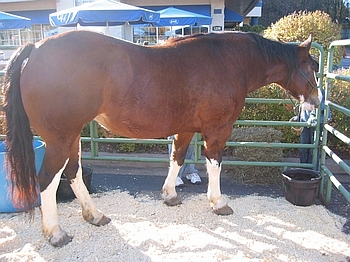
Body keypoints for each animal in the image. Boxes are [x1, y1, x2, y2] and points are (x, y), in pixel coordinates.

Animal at [2, 29, 320, 247]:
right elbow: (215, 164)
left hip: (71, 136)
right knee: (48, 179)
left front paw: (170, 195)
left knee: (73, 172)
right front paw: (218, 202)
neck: (228, 61)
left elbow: (177, 159)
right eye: (312, 68)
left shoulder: (186, 128)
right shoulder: (218, 129)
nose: (316, 101)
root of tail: (37, 47)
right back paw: (55, 233)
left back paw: (94, 215)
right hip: (60, 137)